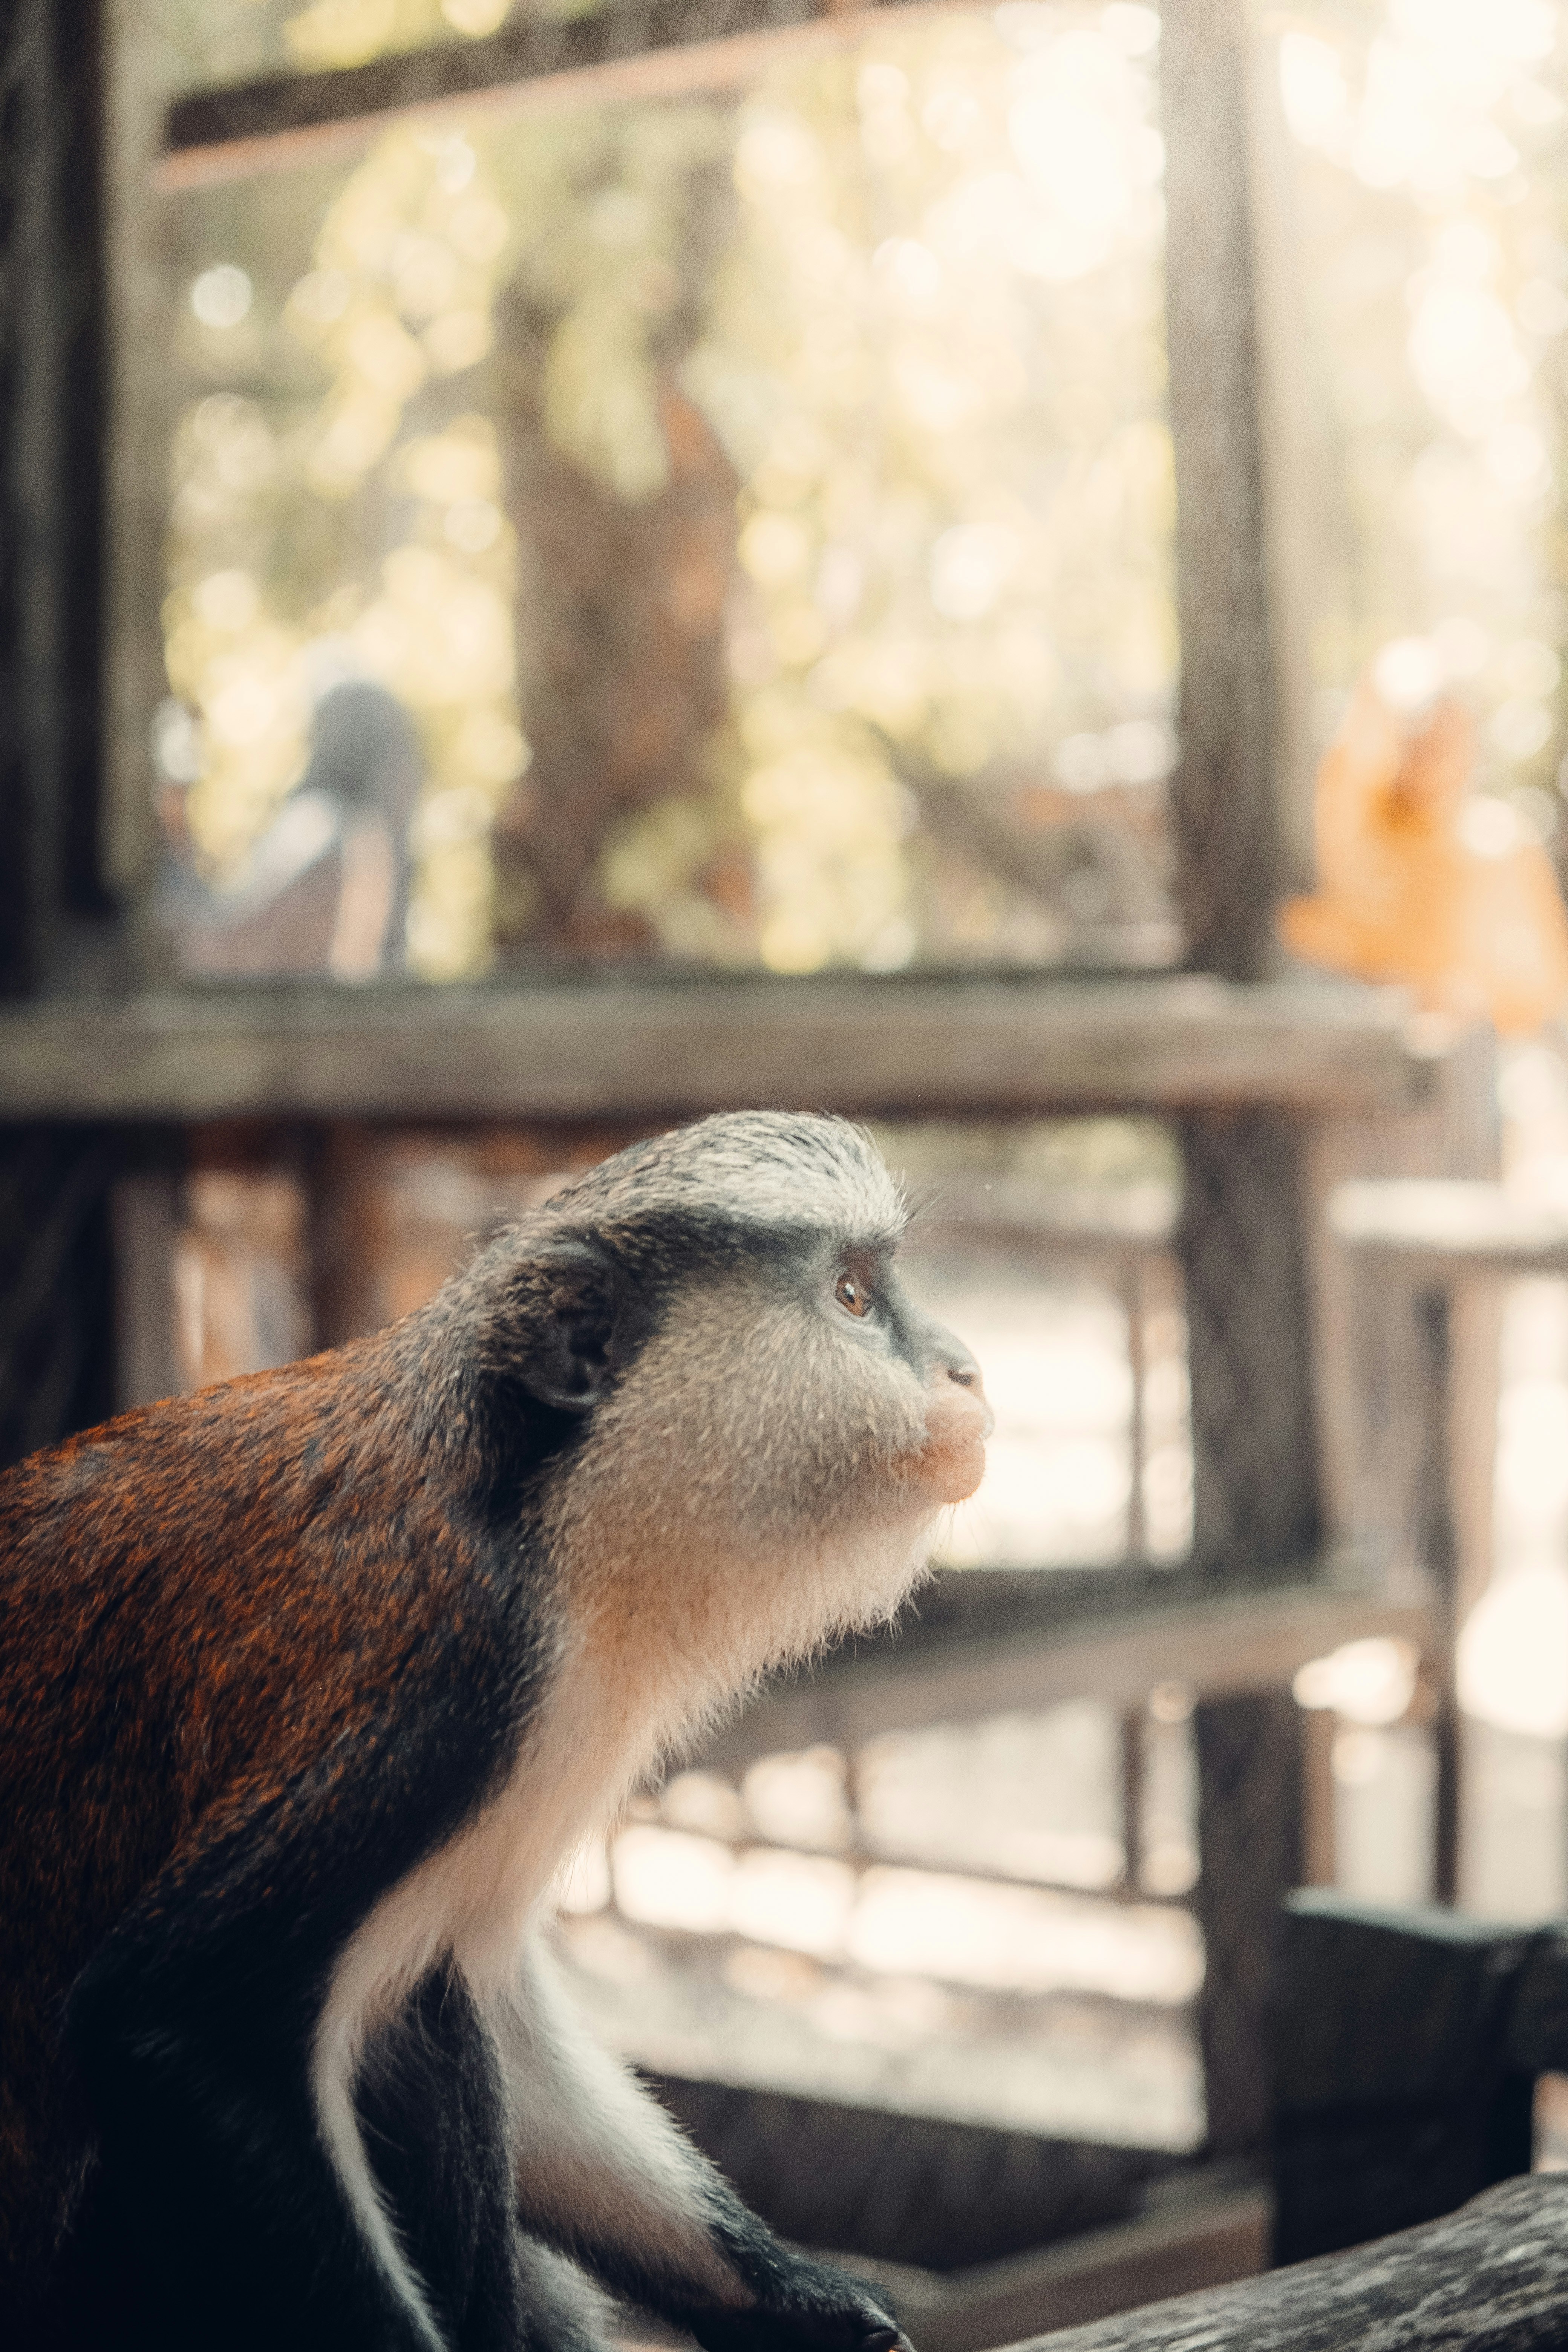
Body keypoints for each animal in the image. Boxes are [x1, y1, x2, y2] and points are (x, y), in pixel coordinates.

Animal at [0, 1112, 990, 2352]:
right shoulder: (457, 1675)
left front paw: (812, 2307)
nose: (966, 1367)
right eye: (854, 1297)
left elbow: (492, 2004)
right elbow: (169, 2021)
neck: (543, 1503)